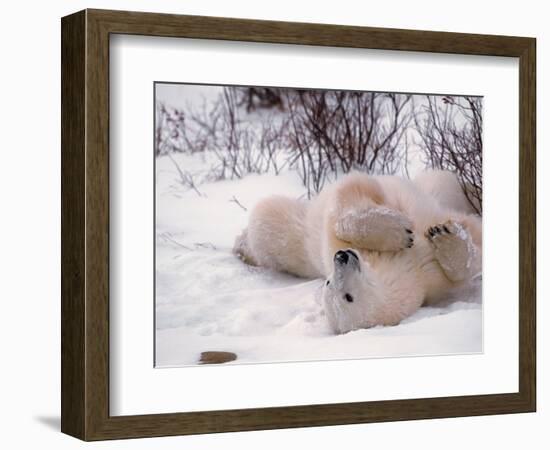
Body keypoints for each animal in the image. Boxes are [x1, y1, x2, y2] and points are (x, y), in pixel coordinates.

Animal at [233, 171, 484, 336]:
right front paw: (441, 237)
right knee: (269, 220)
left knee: (441, 182)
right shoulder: (423, 278)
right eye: (347, 296)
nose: (342, 256)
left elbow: (348, 197)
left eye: (329, 283)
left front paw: (426, 232)